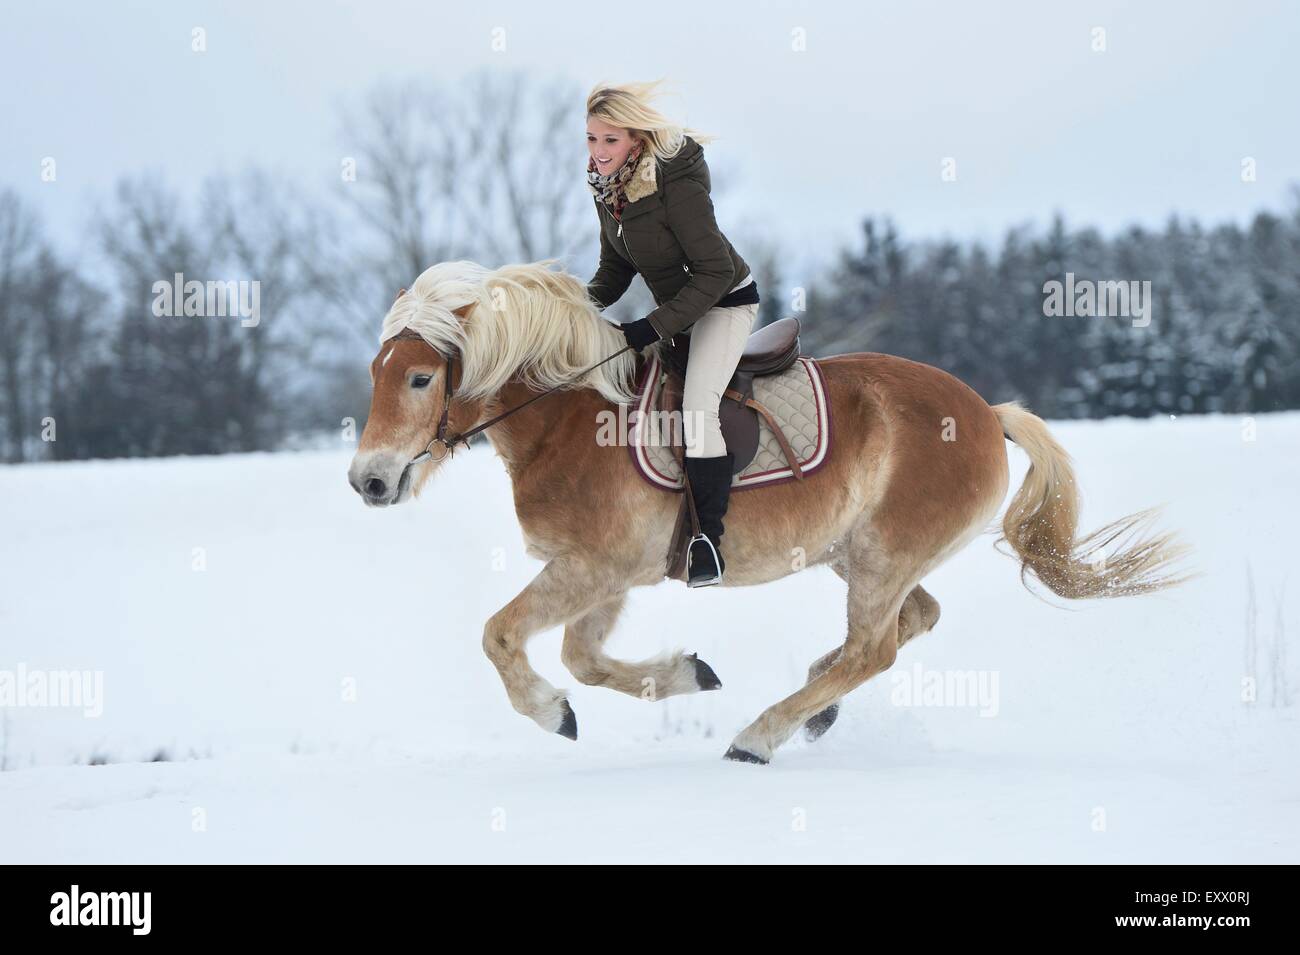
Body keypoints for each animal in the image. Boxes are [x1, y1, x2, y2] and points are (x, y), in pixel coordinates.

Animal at [345, 259, 1190, 764]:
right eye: (377, 372)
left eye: (420, 377)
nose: (368, 482)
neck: (570, 415)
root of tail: (986, 412)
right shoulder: (606, 575)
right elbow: (583, 657)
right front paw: (685, 674)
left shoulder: (590, 567)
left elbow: (500, 635)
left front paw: (550, 713)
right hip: (858, 554)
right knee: (909, 622)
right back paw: (812, 710)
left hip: (880, 555)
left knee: (873, 650)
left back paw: (761, 734)